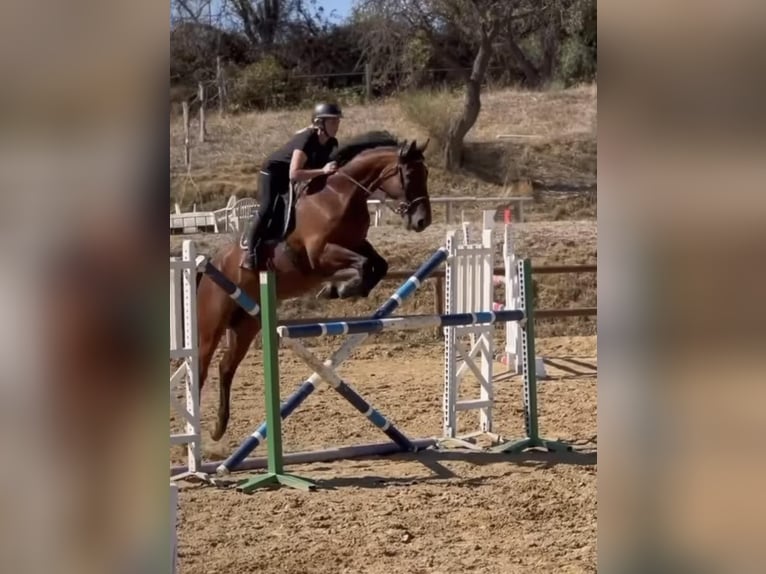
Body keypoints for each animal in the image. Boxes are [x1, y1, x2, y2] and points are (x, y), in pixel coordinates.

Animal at [196, 132, 432, 440]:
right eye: (409, 174)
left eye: (425, 173)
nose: (422, 221)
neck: (342, 194)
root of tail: (212, 263)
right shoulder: (320, 254)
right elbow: (363, 265)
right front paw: (340, 288)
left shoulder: (357, 244)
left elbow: (377, 265)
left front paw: (340, 289)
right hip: (211, 325)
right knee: (201, 368)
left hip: (246, 324)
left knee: (226, 367)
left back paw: (218, 428)